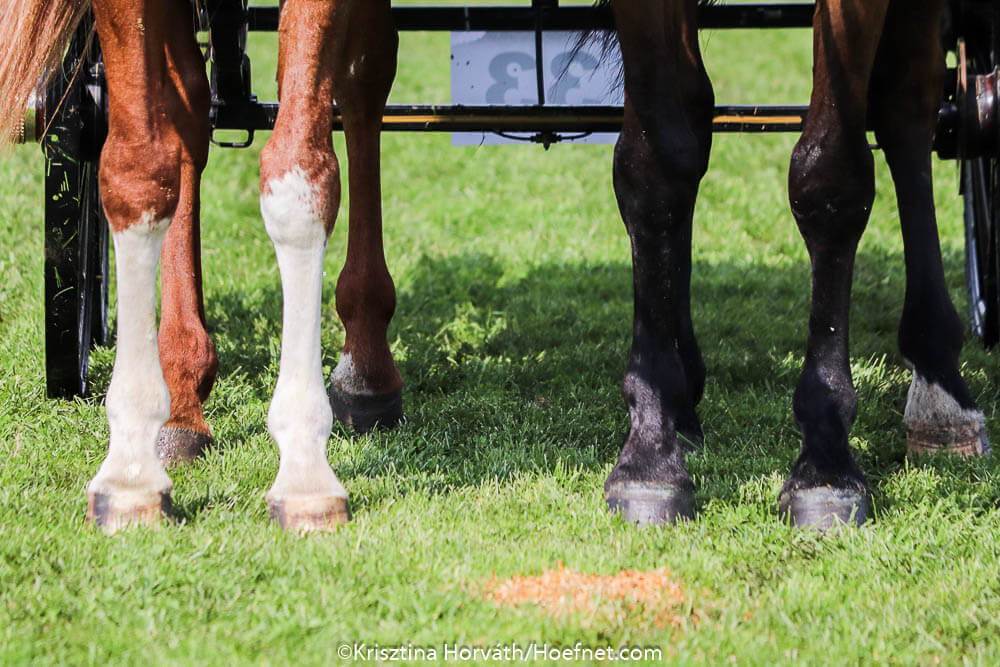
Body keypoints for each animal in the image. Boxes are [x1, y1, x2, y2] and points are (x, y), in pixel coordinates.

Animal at [0, 0, 988, 533]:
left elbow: (827, 172)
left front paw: (823, 462)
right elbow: (139, 167)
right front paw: (129, 466)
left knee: (906, 105)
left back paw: (938, 383)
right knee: (201, 110)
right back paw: (190, 394)